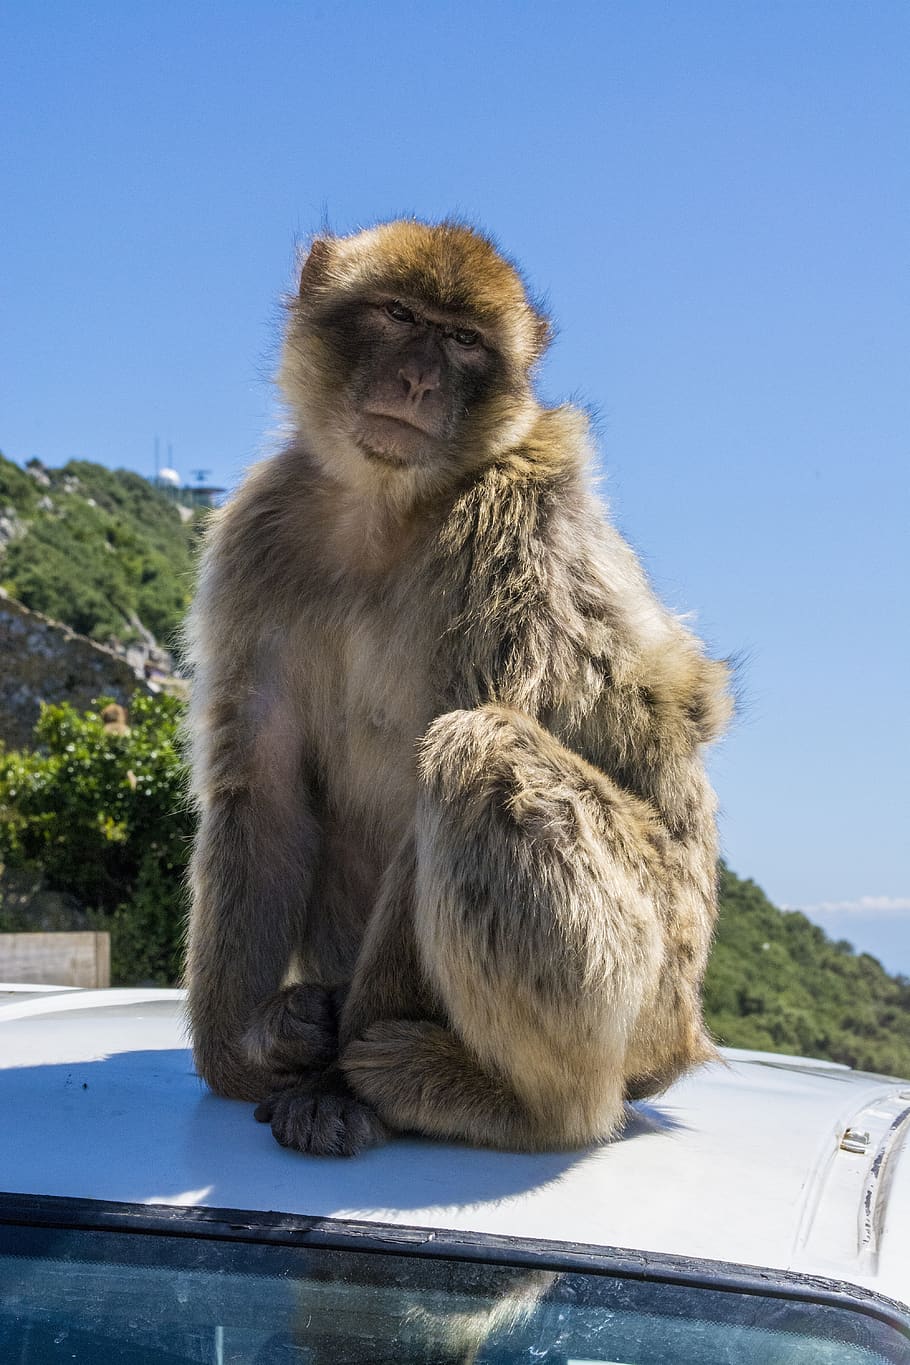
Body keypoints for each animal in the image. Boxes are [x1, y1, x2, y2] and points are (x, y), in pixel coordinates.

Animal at [184, 218, 732, 1157]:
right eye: (401, 315)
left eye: (464, 341)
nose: (417, 380)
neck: (385, 506)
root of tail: (683, 1035)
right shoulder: (260, 531)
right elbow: (264, 788)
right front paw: (247, 1052)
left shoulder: (508, 530)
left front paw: (333, 1087)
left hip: (647, 972)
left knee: (480, 749)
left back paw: (504, 1100)